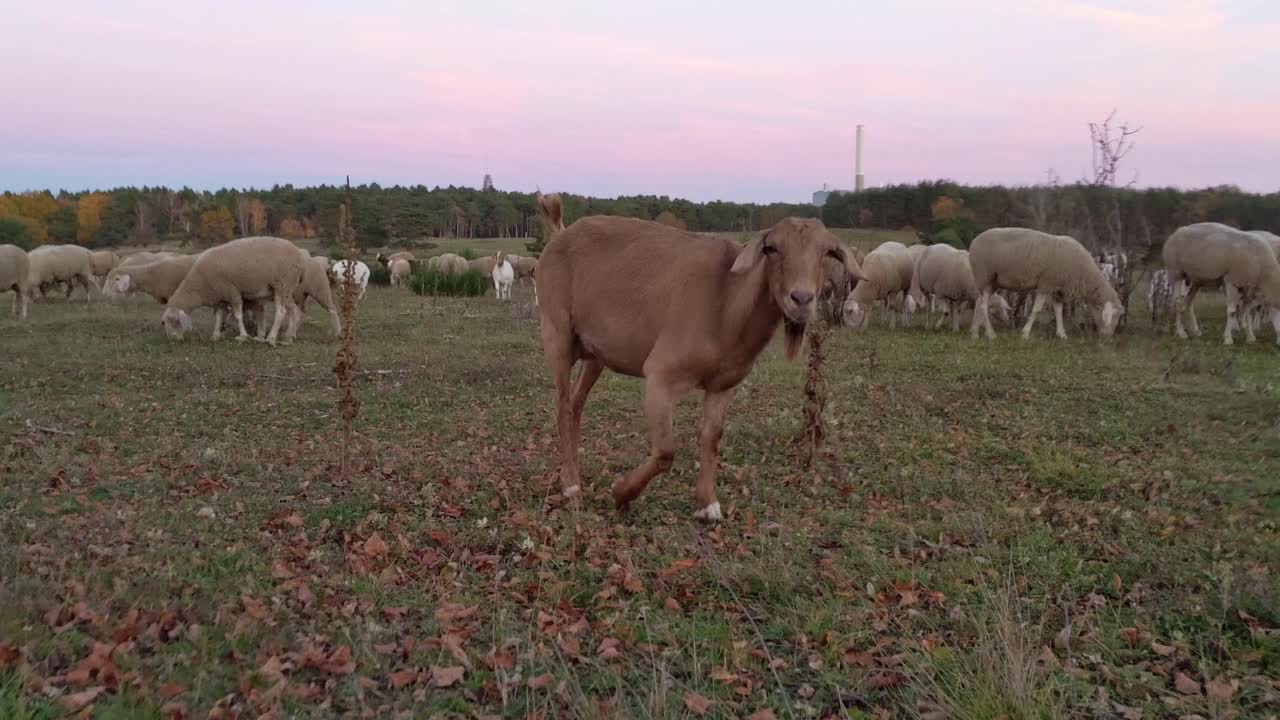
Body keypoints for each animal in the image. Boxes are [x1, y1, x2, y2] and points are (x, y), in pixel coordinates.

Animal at [161, 236, 306, 345]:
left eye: (174, 320)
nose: (172, 340)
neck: (199, 286)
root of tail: (299, 255)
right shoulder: (219, 298)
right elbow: (218, 317)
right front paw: (215, 335)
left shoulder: (232, 292)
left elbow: (238, 316)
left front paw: (243, 336)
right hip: (287, 289)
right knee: (293, 310)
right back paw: (289, 337)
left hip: (282, 285)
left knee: (281, 312)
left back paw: (271, 338)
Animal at [534, 193, 862, 521]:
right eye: (772, 248)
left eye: (828, 252)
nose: (802, 299)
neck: (727, 301)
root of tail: (559, 233)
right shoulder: (661, 375)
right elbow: (665, 452)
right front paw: (620, 493)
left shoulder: (722, 385)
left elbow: (712, 437)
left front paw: (707, 504)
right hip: (557, 332)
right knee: (563, 405)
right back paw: (571, 485)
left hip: (596, 353)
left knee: (576, 404)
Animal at [969, 228, 1123, 340]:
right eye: (1114, 316)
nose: (1108, 337)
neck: (1083, 273)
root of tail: (975, 240)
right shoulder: (1045, 285)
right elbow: (1036, 309)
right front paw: (1025, 333)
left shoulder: (1057, 289)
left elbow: (1059, 311)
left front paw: (1062, 334)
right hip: (984, 276)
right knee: (983, 305)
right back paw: (991, 334)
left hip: (991, 281)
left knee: (978, 303)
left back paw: (975, 333)